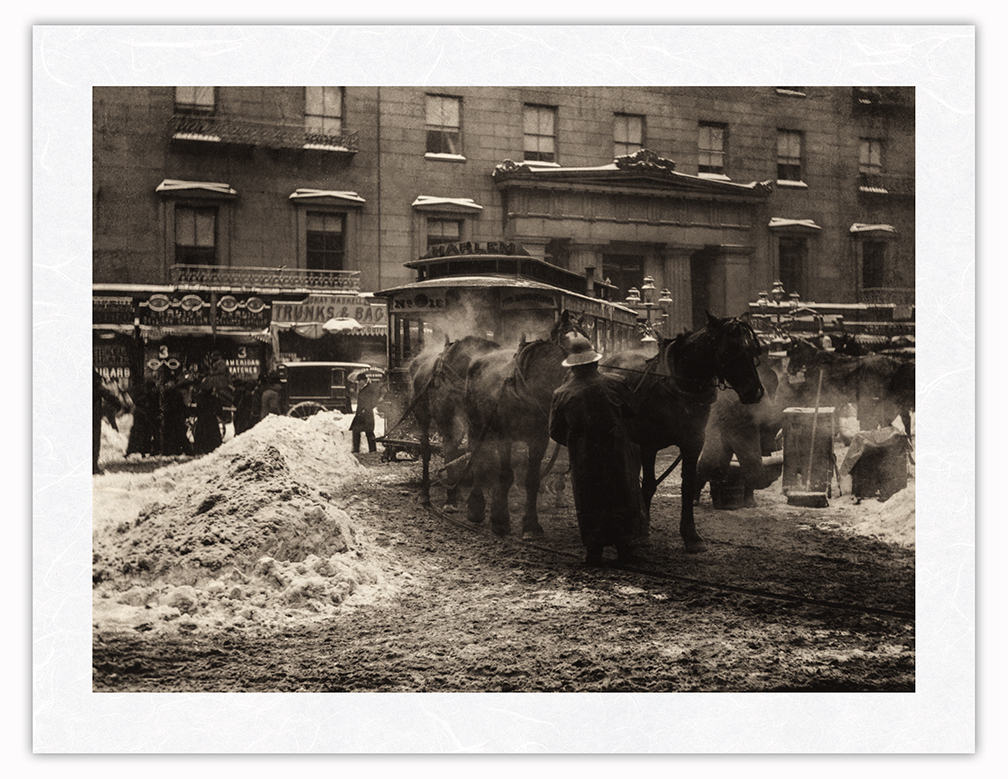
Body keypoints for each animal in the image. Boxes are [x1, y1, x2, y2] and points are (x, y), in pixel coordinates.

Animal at [409, 336, 499, 509]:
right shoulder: (446, 421)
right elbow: (449, 453)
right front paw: (450, 500)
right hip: (421, 414)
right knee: (426, 449)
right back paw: (425, 493)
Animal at [461, 312, 584, 536]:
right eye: (569, 341)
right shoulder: (504, 437)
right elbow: (505, 475)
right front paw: (500, 521)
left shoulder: (539, 439)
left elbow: (532, 479)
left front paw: (531, 524)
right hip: (476, 424)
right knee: (479, 459)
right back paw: (476, 507)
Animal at [596, 312, 762, 552]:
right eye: (730, 349)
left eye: (753, 349)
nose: (755, 392)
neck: (680, 385)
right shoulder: (649, 444)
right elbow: (648, 485)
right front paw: (644, 530)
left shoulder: (693, 443)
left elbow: (688, 485)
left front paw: (691, 535)